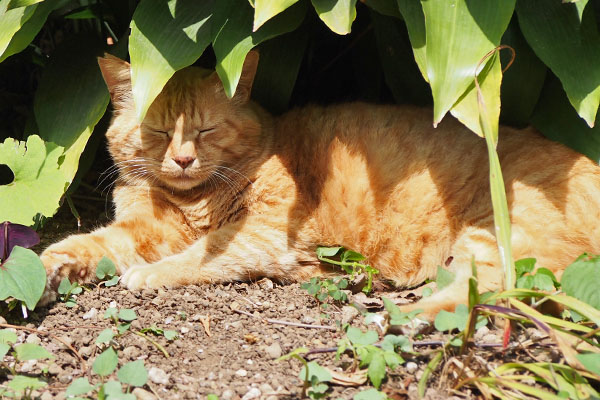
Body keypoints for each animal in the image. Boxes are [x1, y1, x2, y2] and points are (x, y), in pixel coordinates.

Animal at [42, 51, 600, 318]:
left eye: (206, 130)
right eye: (159, 132)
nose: (181, 159)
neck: (191, 198)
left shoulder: (261, 234)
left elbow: (196, 257)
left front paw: (149, 275)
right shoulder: (146, 228)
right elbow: (92, 243)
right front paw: (49, 266)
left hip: (495, 235)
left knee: (495, 291)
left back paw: (388, 313)